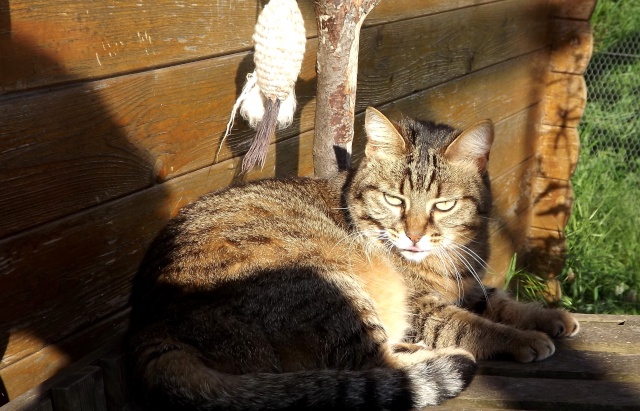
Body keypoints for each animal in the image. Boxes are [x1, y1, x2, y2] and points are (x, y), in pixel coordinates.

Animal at [129, 108, 580, 410]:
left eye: (444, 205)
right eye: (395, 200)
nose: (414, 235)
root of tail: (152, 327)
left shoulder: (467, 285)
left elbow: (500, 300)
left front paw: (550, 316)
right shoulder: (422, 306)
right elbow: (471, 325)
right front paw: (523, 338)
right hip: (331, 286)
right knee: (374, 364)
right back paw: (433, 359)